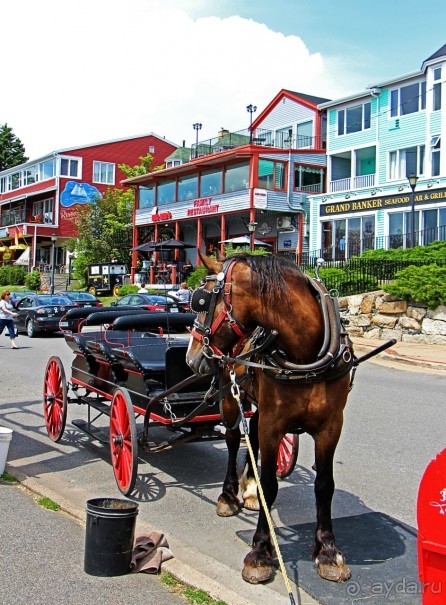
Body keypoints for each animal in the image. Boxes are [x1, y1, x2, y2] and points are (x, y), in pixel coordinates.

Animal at [186, 251, 354, 584]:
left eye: (200, 301)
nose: (192, 356)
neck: (306, 357)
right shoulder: (273, 424)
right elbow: (270, 485)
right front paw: (260, 552)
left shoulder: (331, 426)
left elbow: (324, 484)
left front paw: (328, 550)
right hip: (230, 395)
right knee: (234, 439)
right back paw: (228, 496)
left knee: (251, 436)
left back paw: (248, 489)